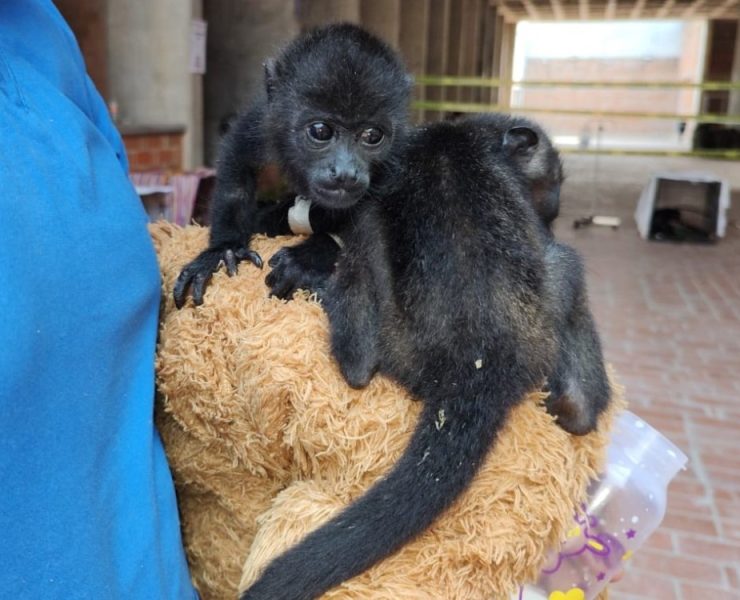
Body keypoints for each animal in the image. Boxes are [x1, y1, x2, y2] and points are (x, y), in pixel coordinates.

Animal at [176, 22, 414, 310]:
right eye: (320, 131)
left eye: (372, 135)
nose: (346, 172)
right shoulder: (263, 122)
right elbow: (237, 162)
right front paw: (224, 249)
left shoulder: (400, 154)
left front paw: (309, 257)